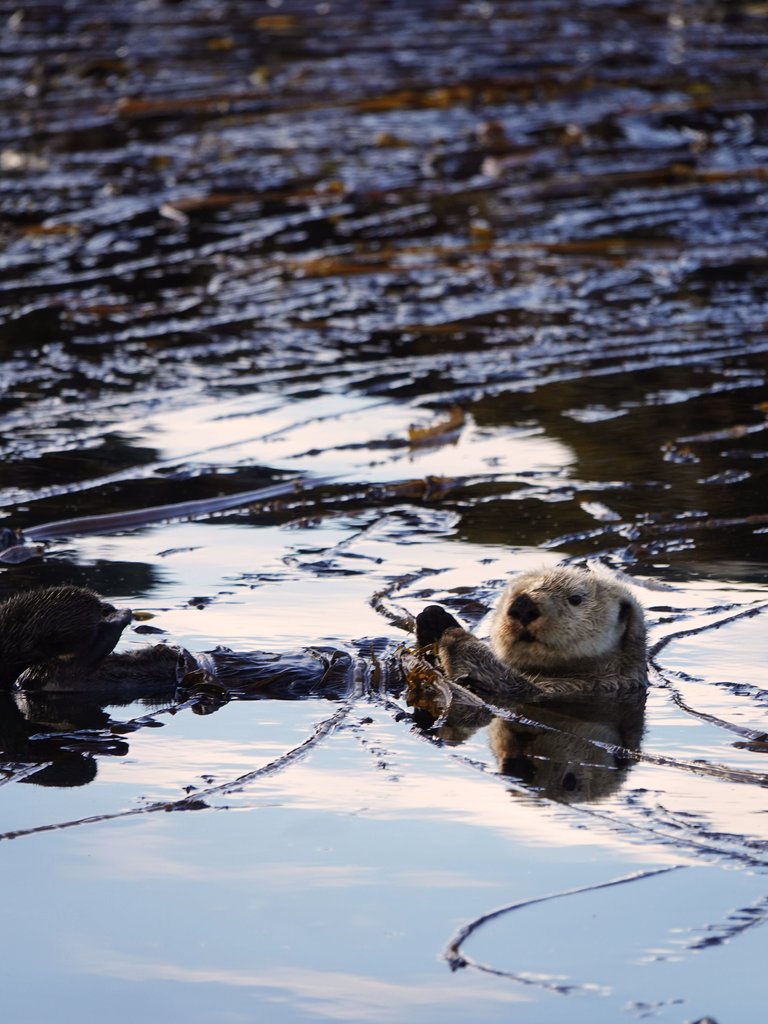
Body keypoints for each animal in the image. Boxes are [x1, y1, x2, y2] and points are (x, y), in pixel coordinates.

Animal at [417, 565, 647, 700]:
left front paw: (450, 630)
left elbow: (506, 682)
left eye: (576, 598)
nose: (523, 604)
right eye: (511, 594)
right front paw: (430, 616)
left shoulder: (583, 687)